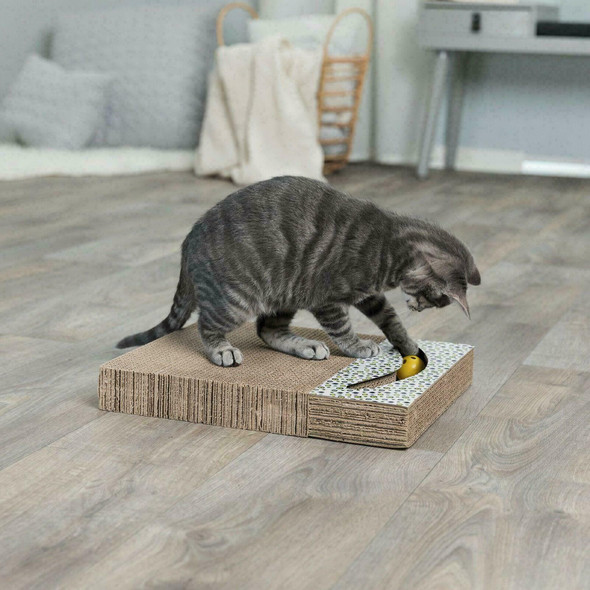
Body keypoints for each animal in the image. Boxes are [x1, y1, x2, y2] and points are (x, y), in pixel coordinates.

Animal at [118, 178, 484, 368]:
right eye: (434, 297)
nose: (419, 307)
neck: (388, 242)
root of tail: (187, 240)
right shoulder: (328, 297)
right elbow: (342, 327)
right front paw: (357, 346)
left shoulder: (369, 295)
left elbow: (391, 320)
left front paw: (407, 343)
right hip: (236, 300)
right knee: (207, 326)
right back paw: (222, 350)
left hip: (284, 293)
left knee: (268, 330)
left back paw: (305, 346)